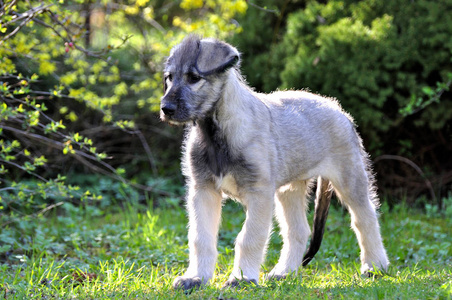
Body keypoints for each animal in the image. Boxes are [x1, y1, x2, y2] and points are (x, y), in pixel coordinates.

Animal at [160, 35, 388, 290]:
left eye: (194, 78)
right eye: (169, 77)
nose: (166, 109)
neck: (217, 133)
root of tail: (339, 110)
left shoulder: (259, 193)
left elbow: (249, 237)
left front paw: (242, 278)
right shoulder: (203, 190)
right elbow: (201, 238)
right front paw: (196, 277)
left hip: (350, 179)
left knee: (365, 218)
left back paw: (375, 266)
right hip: (290, 190)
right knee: (298, 230)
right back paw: (284, 272)